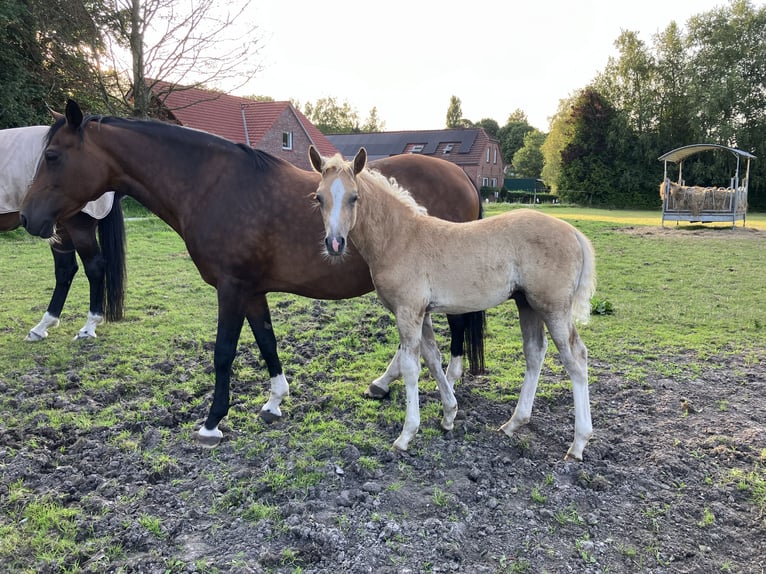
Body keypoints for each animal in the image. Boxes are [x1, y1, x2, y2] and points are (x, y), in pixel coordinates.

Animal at [21, 101, 486, 448]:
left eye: (52, 156)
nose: (27, 217)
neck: (211, 185)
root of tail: (461, 174)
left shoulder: (231, 288)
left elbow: (224, 352)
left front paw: (212, 422)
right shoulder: (252, 290)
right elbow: (266, 341)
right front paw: (275, 400)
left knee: (457, 326)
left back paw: (448, 381)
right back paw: (386, 382)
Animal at [312, 146, 600, 462]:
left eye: (354, 197)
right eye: (319, 197)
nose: (334, 244)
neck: (400, 238)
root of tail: (573, 233)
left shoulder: (408, 312)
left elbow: (412, 367)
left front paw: (406, 435)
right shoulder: (422, 313)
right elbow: (433, 358)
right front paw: (449, 414)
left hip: (553, 308)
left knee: (576, 358)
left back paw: (578, 443)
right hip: (527, 304)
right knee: (535, 352)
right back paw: (514, 423)